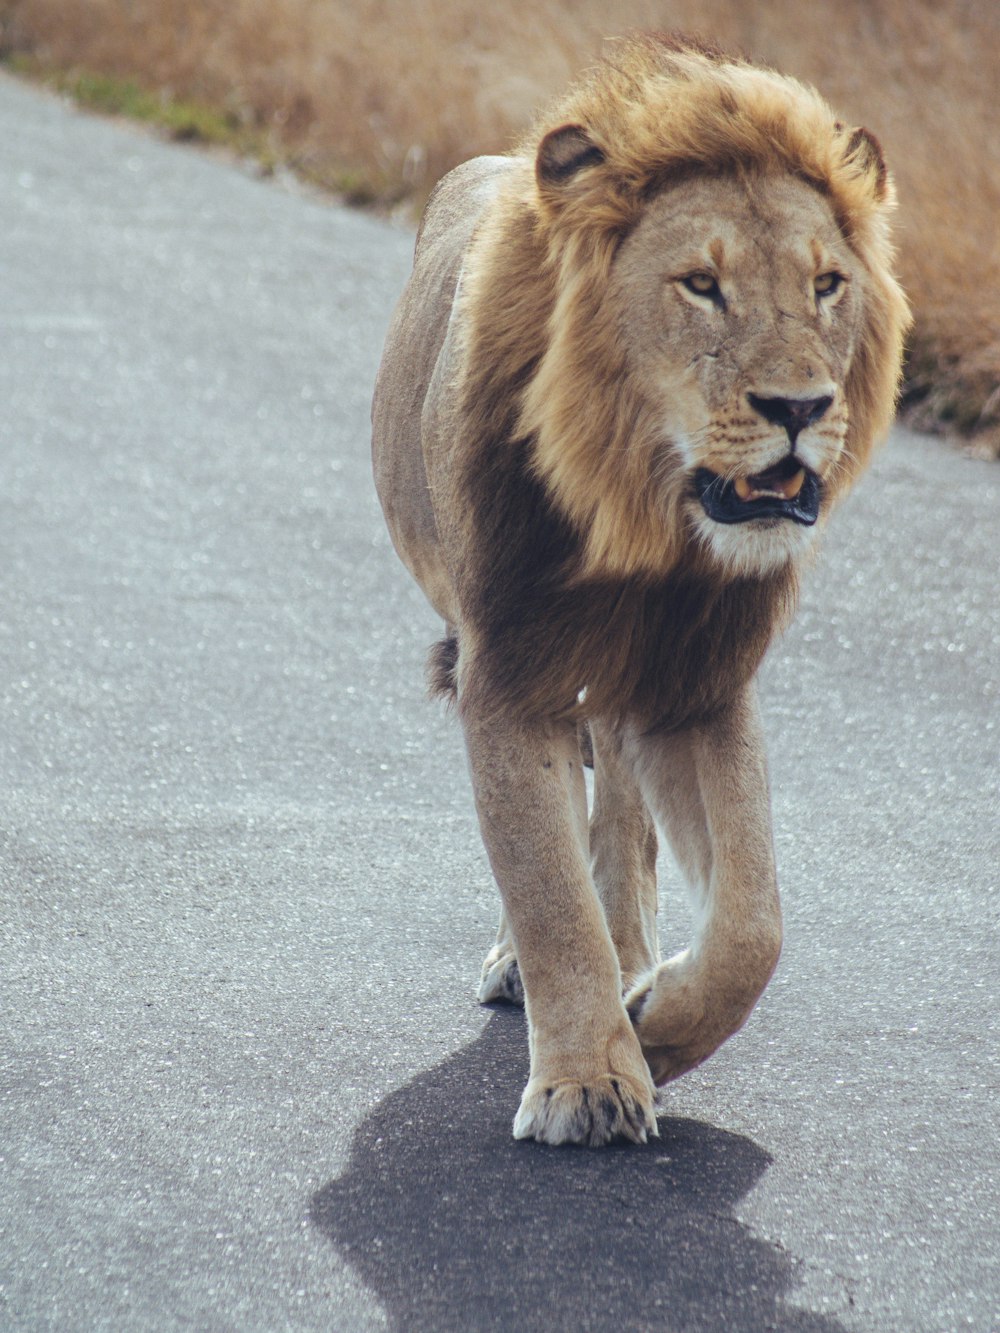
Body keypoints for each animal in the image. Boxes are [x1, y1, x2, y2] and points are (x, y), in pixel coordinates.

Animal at [373, 36, 912, 1151]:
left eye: (827, 284)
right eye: (700, 284)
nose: (799, 409)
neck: (649, 526)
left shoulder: (698, 686)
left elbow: (753, 923)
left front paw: (654, 1023)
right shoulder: (508, 673)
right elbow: (545, 887)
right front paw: (586, 1080)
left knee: (619, 814)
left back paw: (632, 962)